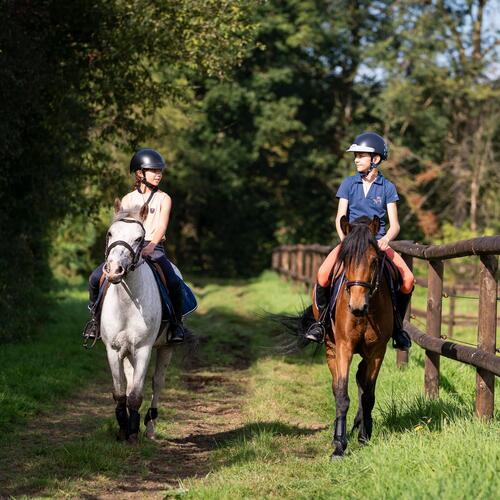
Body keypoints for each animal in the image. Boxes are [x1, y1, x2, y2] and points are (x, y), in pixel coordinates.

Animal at [99, 199, 174, 442]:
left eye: (139, 238)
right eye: (110, 233)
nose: (114, 270)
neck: (127, 302)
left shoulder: (143, 349)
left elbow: (135, 395)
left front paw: (132, 433)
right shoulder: (113, 350)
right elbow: (120, 393)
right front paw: (123, 428)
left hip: (166, 347)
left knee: (157, 383)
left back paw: (149, 427)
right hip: (127, 352)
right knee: (132, 381)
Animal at [318, 215, 392, 458]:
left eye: (374, 261)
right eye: (346, 260)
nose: (357, 307)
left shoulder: (377, 351)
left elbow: (368, 395)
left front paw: (364, 437)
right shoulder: (344, 347)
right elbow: (342, 395)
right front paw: (339, 446)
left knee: (361, 380)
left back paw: (360, 424)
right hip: (330, 348)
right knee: (336, 385)